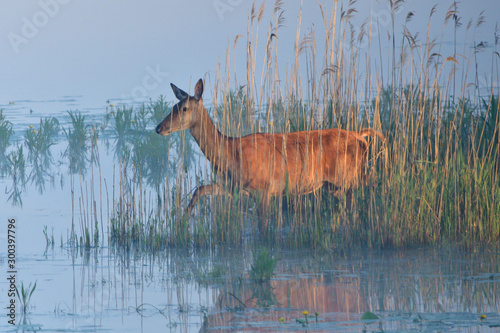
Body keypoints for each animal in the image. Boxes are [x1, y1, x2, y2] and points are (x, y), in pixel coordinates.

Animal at [156, 79, 386, 217]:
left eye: (184, 108)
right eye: (173, 106)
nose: (159, 127)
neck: (231, 153)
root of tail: (360, 136)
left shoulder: (264, 189)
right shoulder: (233, 186)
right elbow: (200, 189)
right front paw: (186, 215)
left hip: (349, 174)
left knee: (374, 181)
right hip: (334, 185)